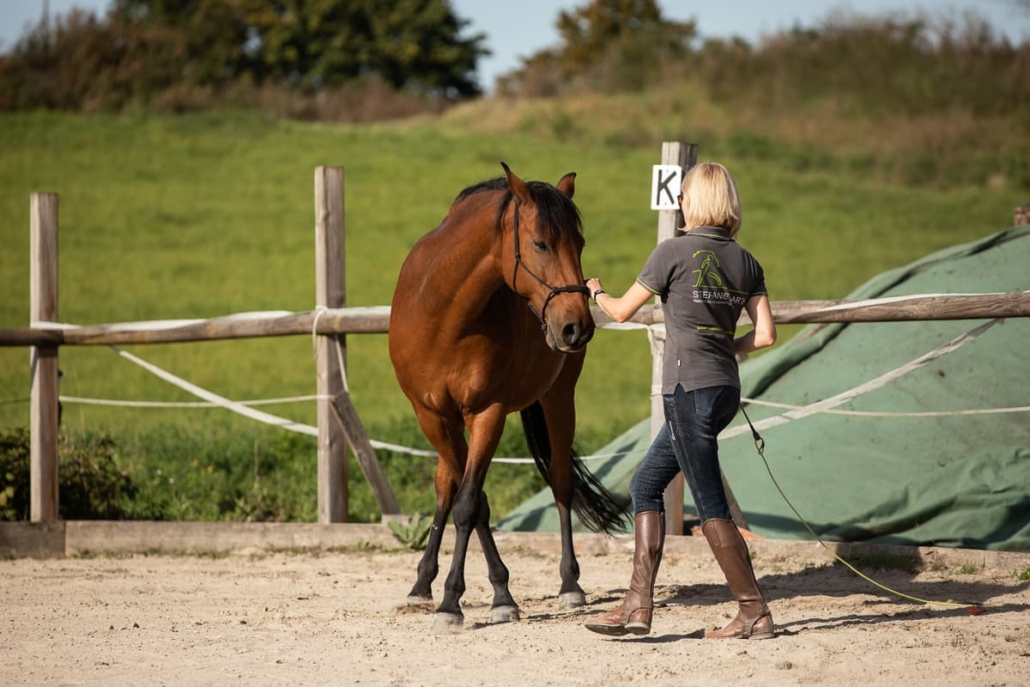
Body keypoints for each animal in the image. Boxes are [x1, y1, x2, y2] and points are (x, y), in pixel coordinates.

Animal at [388, 162, 629, 629]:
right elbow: (468, 498)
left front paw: (461, 601)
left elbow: (469, 503)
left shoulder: (488, 413)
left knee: (560, 481)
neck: (443, 313)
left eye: (580, 244)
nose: (577, 327)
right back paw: (421, 584)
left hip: (559, 399)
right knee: (445, 486)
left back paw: (570, 585)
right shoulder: (431, 415)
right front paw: (480, 592)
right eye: (540, 243)